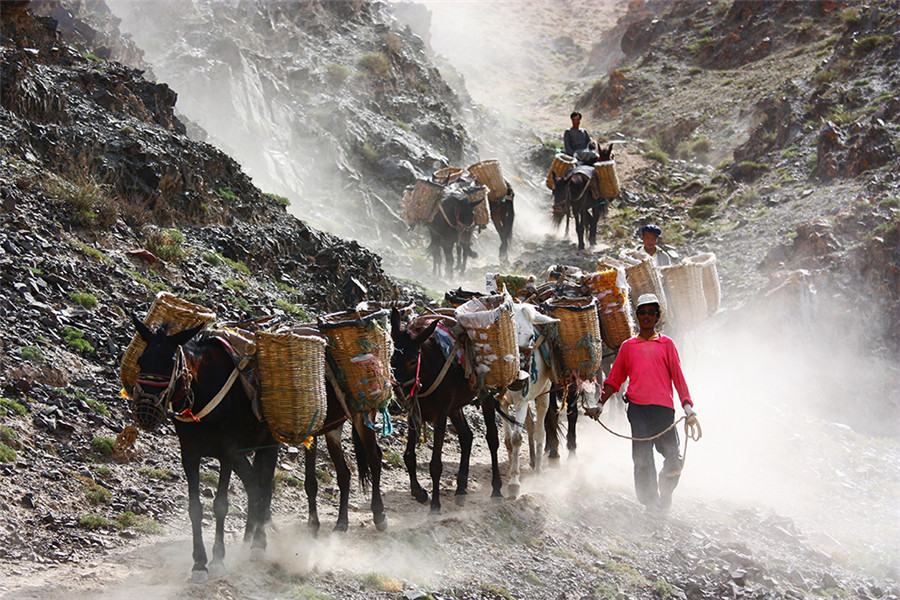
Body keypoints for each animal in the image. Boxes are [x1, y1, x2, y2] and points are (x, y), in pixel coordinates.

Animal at [129, 318, 278, 580]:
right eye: (140, 360)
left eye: (171, 362)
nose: (145, 411)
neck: (201, 393)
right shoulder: (190, 454)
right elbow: (195, 508)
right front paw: (199, 563)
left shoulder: (228, 453)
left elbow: (220, 505)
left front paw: (218, 559)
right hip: (244, 454)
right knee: (253, 485)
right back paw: (247, 540)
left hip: (268, 443)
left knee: (264, 486)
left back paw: (258, 544)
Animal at [388, 312, 506, 512]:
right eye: (391, 359)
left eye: (413, 361)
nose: (396, 403)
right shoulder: (414, 413)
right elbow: (409, 457)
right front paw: (419, 493)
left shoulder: (440, 416)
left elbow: (435, 464)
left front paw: (435, 505)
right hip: (455, 407)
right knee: (467, 437)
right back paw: (460, 489)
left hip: (485, 395)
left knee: (492, 439)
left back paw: (496, 489)